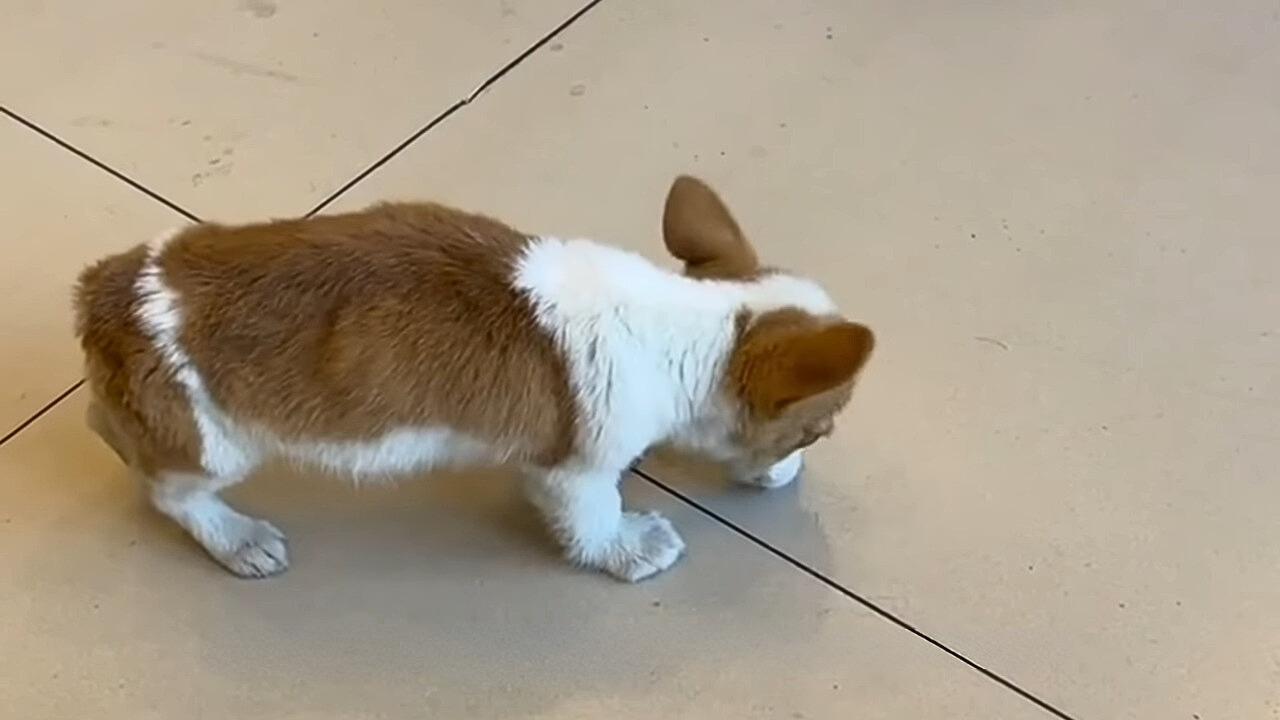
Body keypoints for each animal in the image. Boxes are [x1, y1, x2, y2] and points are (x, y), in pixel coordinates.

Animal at [70, 175, 870, 584]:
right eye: (816, 432)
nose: (793, 477)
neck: (693, 326)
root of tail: (106, 290)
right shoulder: (577, 470)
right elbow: (594, 519)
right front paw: (631, 547)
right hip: (216, 443)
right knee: (169, 490)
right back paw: (236, 538)